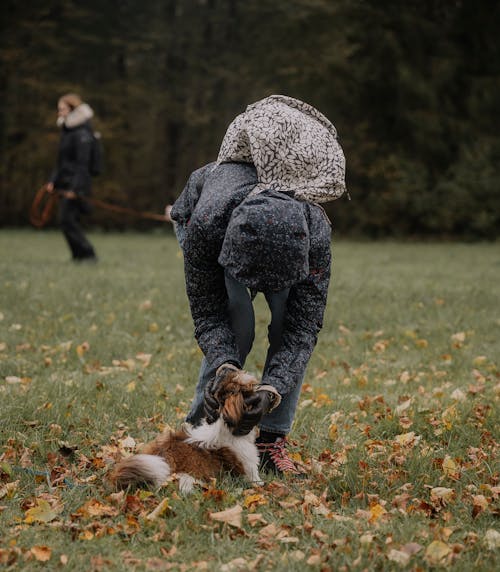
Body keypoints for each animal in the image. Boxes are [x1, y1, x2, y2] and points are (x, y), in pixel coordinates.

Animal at [108, 368, 264, 494]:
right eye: (244, 385)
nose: (225, 369)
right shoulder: (248, 464)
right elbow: (255, 479)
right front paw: (262, 484)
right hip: (187, 479)